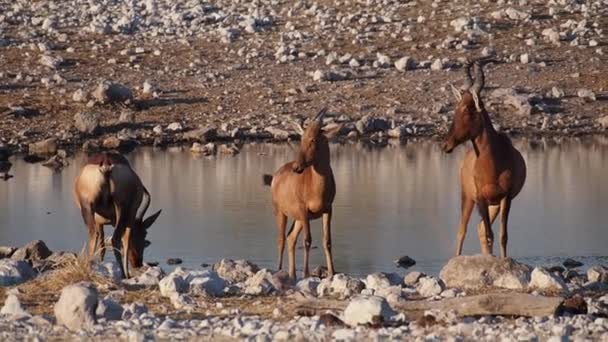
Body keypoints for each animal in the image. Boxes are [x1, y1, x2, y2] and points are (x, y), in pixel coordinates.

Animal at [262, 108, 340, 280]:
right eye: (301, 138)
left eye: (313, 139)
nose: (297, 168)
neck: (315, 186)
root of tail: (275, 176)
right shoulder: (304, 210)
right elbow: (307, 240)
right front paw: (305, 274)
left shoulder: (328, 210)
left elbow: (327, 241)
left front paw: (332, 272)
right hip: (280, 212)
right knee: (281, 239)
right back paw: (279, 269)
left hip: (297, 219)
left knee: (291, 238)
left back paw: (292, 274)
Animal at [442, 60, 528, 258]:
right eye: (456, 107)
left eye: (468, 109)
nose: (446, 145)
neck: (493, 163)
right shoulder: (480, 198)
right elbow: (490, 234)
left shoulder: (506, 198)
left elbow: (502, 235)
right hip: (467, 198)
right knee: (462, 230)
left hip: (493, 205)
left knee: (480, 228)